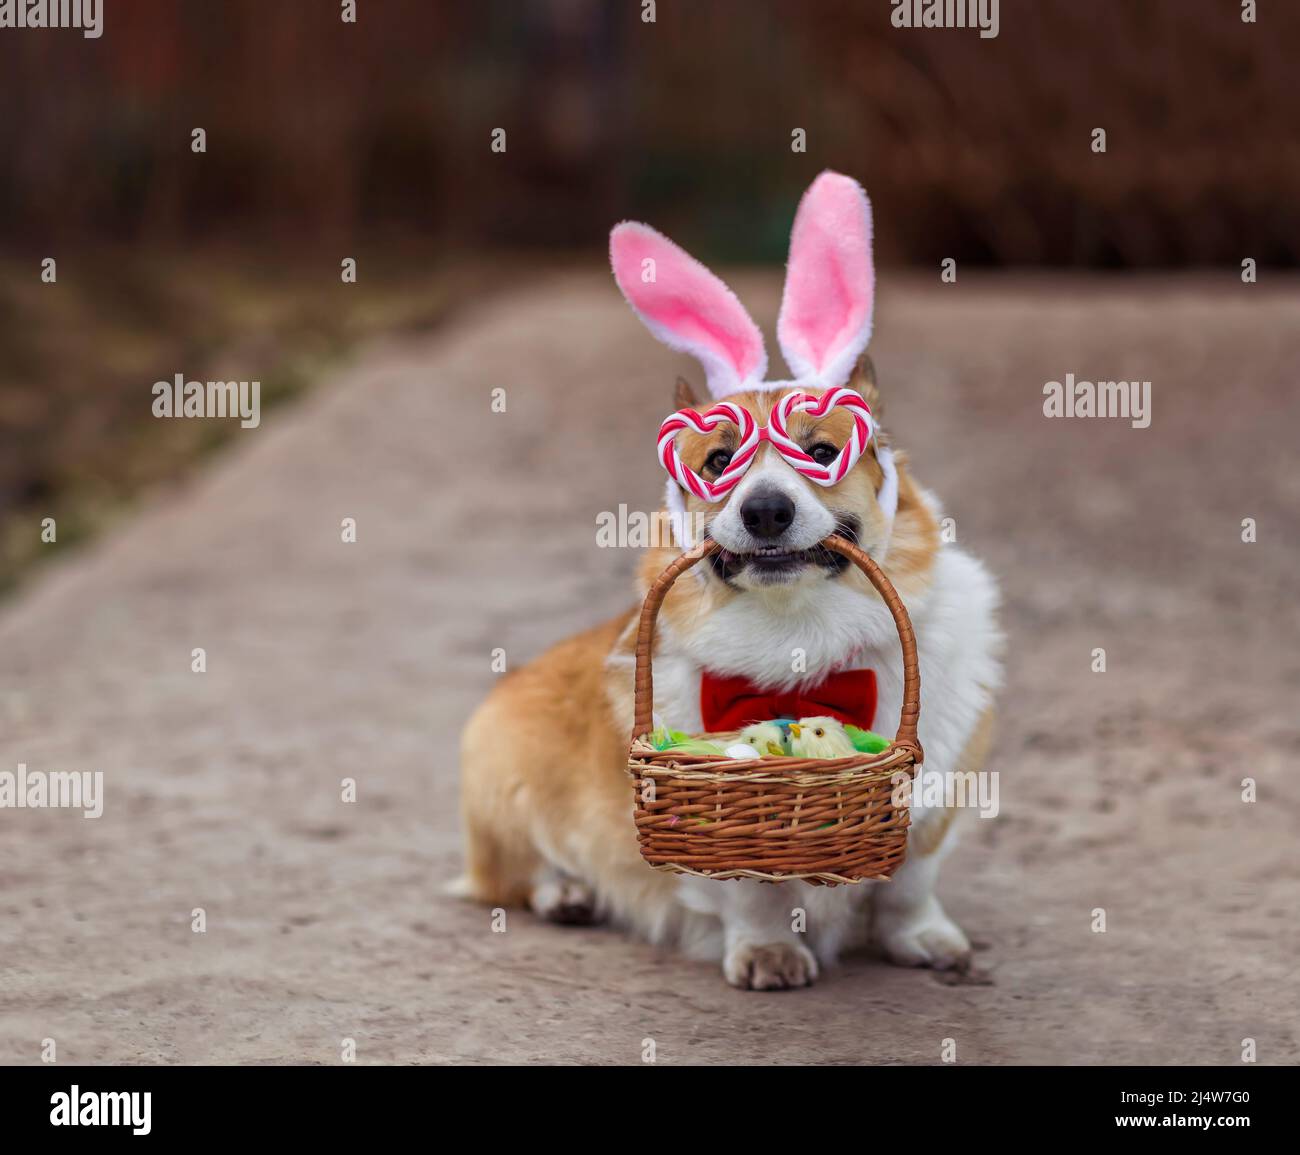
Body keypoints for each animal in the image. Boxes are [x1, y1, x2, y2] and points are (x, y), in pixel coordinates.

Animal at [460, 174, 1003, 993]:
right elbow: (750, 892)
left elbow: (910, 884)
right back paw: (567, 892)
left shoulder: (930, 797)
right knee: (512, 878)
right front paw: (768, 952)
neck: (799, 632)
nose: (767, 510)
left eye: (821, 451)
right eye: (719, 462)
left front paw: (925, 939)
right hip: (503, 787)